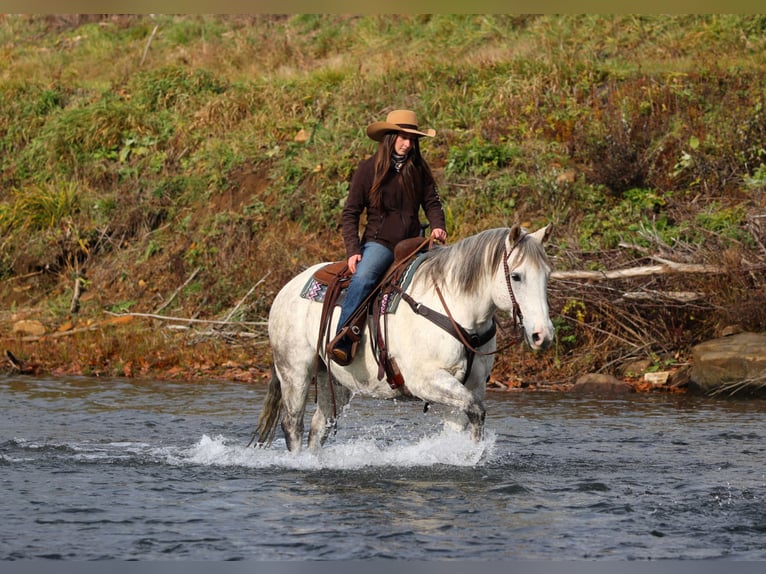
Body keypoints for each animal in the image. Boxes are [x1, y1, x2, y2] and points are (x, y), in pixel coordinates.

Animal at [252, 224, 554, 453]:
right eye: (516, 276)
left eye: (547, 275)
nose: (543, 335)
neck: (455, 307)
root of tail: (287, 288)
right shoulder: (426, 381)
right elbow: (477, 412)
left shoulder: (472, 385)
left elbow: (464, 420)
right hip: (294, 371)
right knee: (293, 424)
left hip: (333, 378)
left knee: (319, 426)